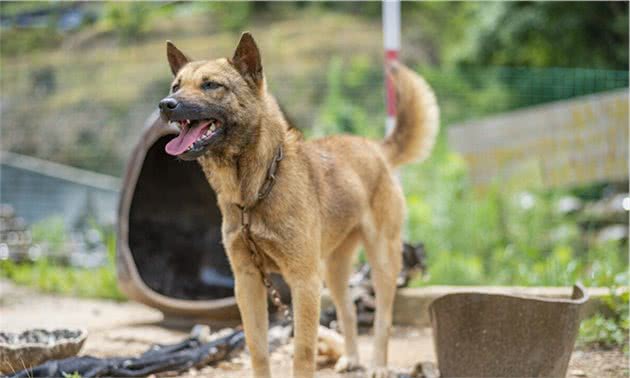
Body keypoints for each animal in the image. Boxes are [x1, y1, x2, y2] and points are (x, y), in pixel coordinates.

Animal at [158, 32, 440, 378]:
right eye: (176, 86)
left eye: (211, 85)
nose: (166, 105)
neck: (256, 191)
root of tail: (375, 148)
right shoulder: (248, 282)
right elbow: (258, 349)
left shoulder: (303, 282)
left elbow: (303, 352)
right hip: (333, 271)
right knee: (347, 312)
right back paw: (352, 358)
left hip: (382, 262)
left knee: (382, 320)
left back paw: (378, 365)